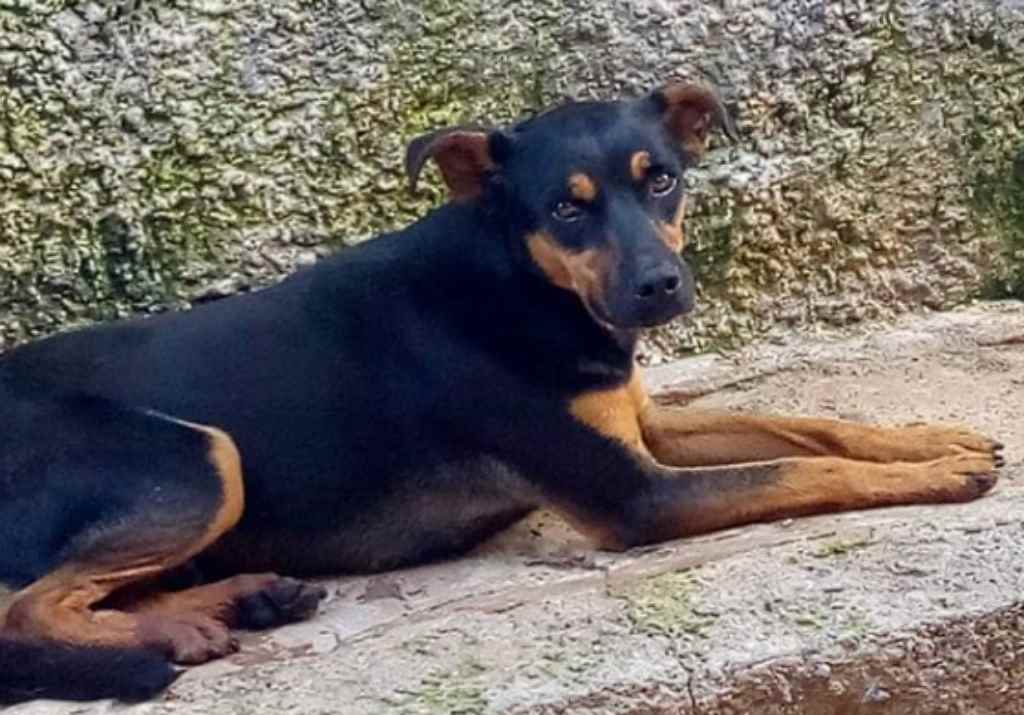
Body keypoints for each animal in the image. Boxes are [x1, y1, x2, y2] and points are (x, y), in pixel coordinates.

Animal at [0, 82, 1003, 704]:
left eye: (662, 181)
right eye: (565, 208)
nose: (660, 287)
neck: (524, 282)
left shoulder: (641, 424)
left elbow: (805, 423)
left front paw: (937, 437)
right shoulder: (635, 493)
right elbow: (800, 471)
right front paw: (940, 474)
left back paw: (235, 601)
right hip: (202, 456)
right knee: (28, 607)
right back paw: (171, 638)